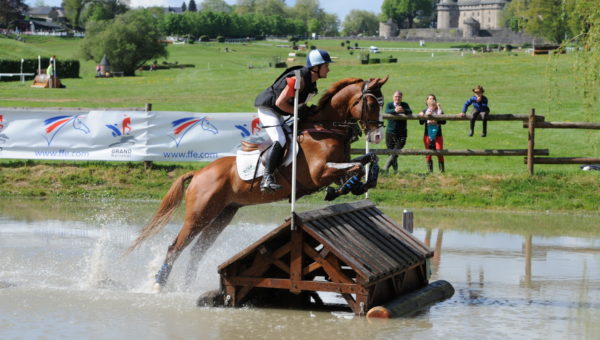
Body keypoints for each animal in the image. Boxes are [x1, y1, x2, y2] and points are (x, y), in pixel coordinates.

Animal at [127, 76, 390, 290]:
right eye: (371, 104)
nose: (377, 136)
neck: (325, 129)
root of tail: (200, 173)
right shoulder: (318, 174)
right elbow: (354, 168)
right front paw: (341, 189)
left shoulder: (338, 165)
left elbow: (367, 161)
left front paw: (360, 185)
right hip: (200, 214)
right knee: (175, 248)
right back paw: (159, 285)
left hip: (223, 215)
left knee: (197, 251)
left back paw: (186, 286)